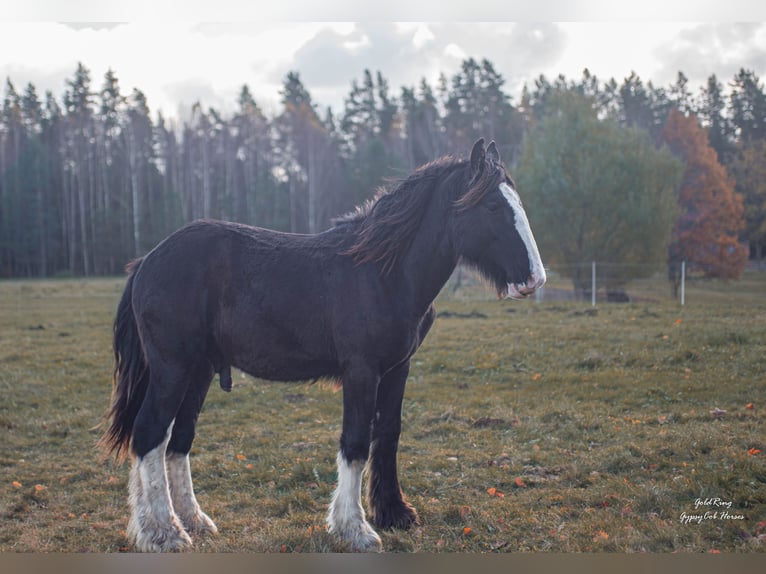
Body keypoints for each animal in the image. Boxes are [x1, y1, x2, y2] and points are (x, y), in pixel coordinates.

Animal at [99, 138, 548, 552]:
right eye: (492, 207)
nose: (535, 278)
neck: (383, 273)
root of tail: (147, 261)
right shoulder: (362, 370)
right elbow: (355, 443)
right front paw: (355, 529)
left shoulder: (397, 368)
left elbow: (388, 433)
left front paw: (394, 513)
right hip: (173, 368)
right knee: (149, 434)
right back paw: (164, 532)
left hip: (199, 371)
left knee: (177, 441)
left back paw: (190, 521)